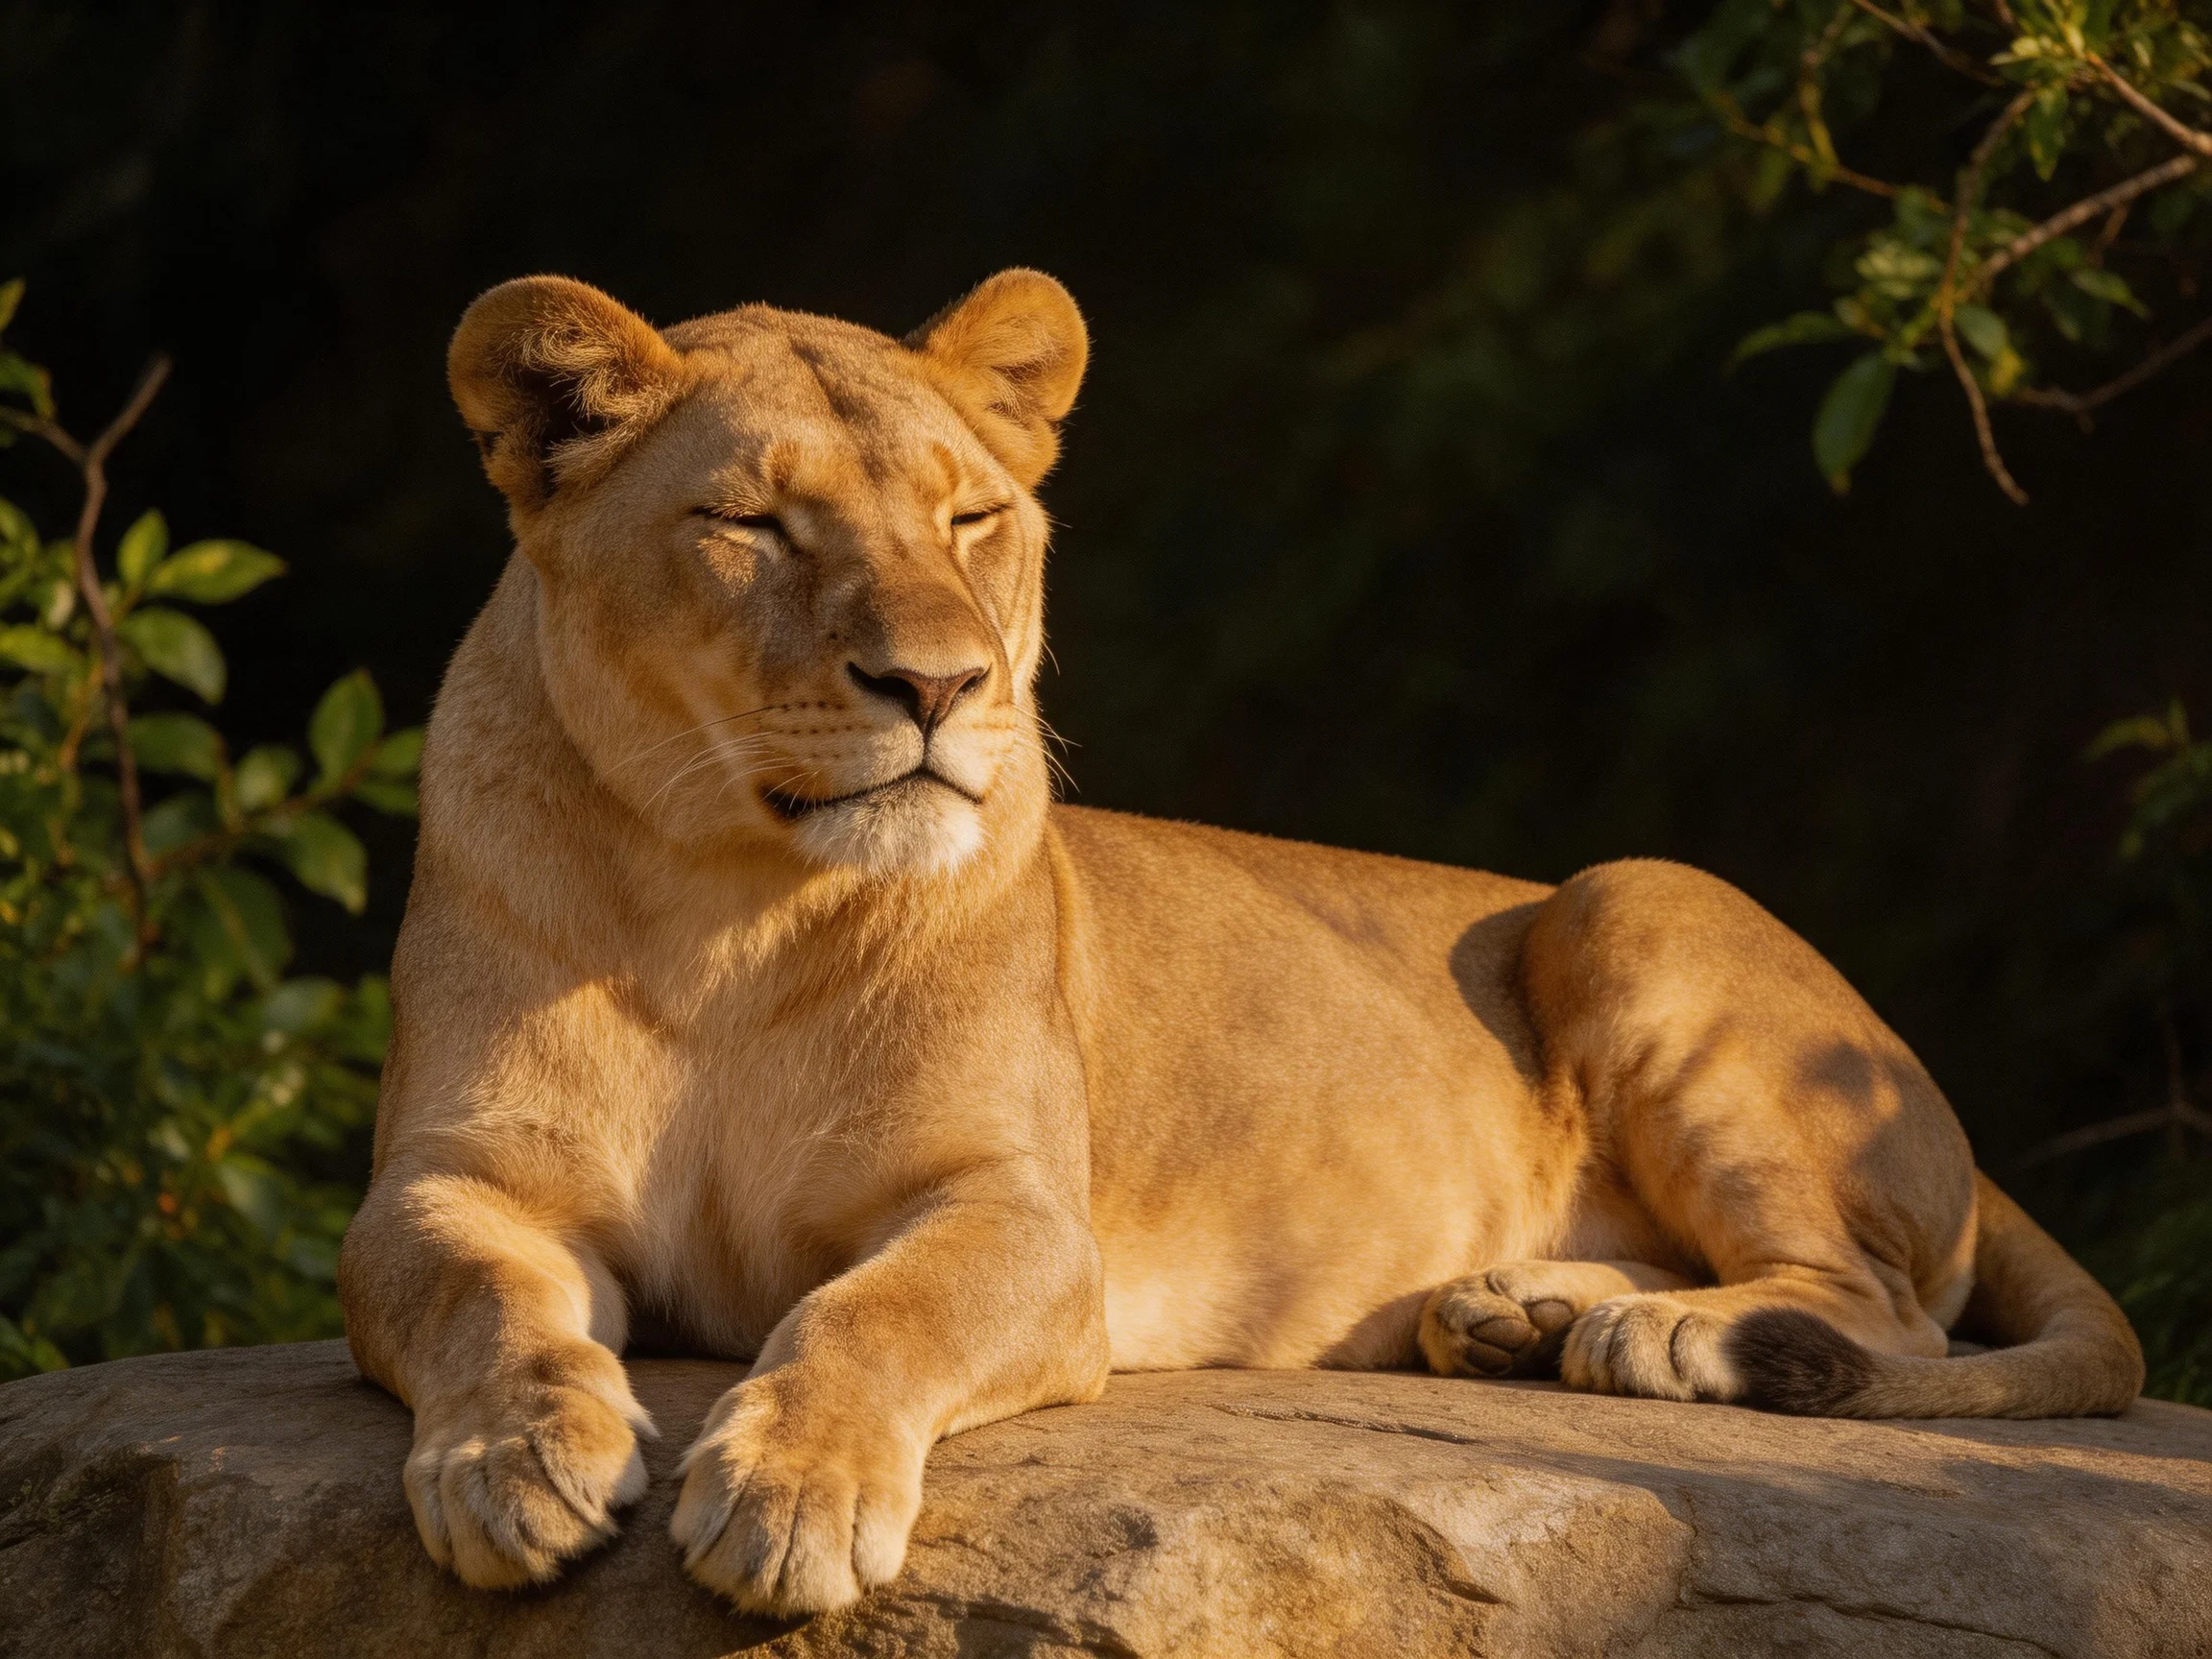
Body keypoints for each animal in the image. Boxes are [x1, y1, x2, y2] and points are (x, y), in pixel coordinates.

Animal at [336, 268, 2145, 1618]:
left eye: (972, 519)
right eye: (752, 525)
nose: (941, 685)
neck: (730, 901)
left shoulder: (1023, 1219)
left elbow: (876, 1316)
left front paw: (791, 1490)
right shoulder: (449, 1178)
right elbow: (476, 1299)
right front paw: (511, 1463)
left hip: (1633, 892)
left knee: (1881, 1310)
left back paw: (1660, 1335)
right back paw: (1512, 1311)